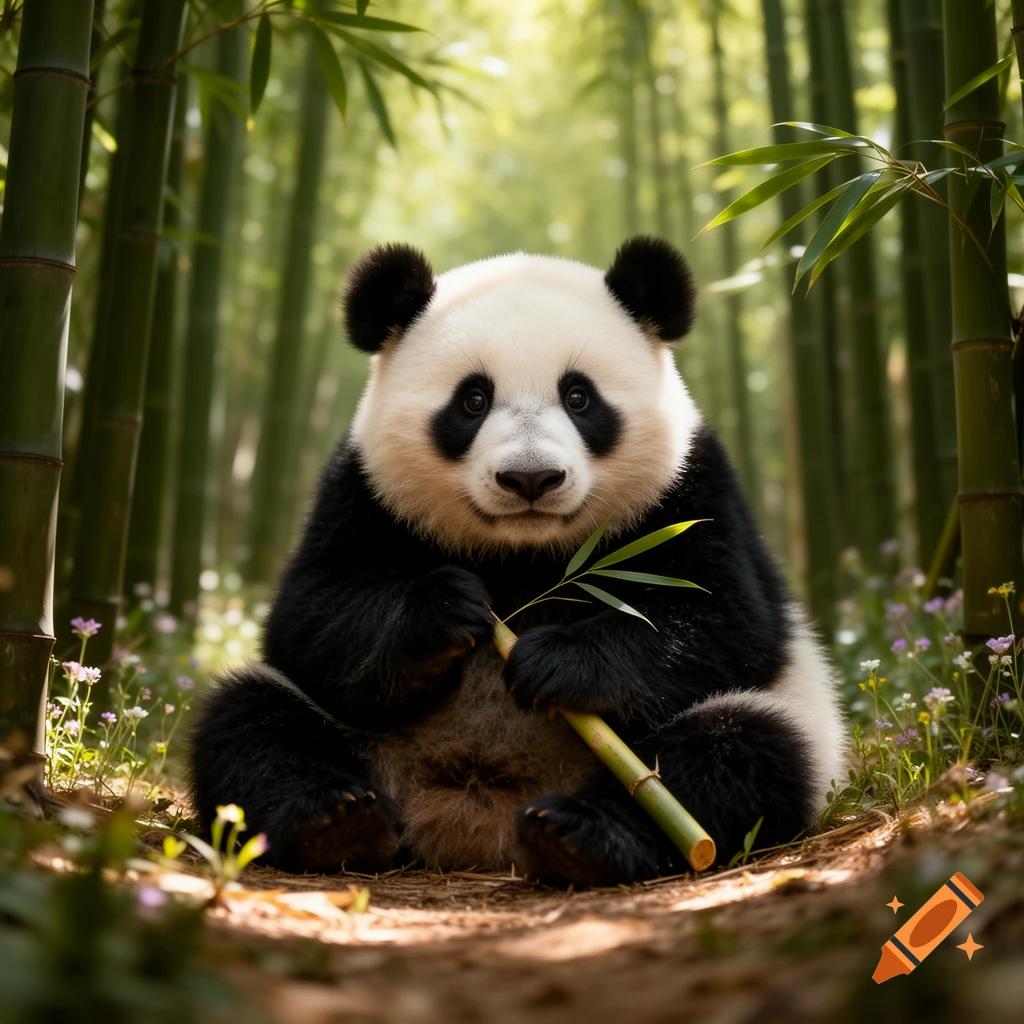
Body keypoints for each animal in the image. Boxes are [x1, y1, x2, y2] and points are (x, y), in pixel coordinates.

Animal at [188, 236, 848, 886]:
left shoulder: (691, 492)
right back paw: (334, 823)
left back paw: (579, 836)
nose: (531, 478)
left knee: (739, 750)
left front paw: (557, 661)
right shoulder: (361, 493)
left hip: (775, 725)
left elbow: (720, 622)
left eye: (578, 396)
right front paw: (446, 611)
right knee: (251, 723)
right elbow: (312, 618)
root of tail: (471, 825)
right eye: (473, 399)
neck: (524, 554)